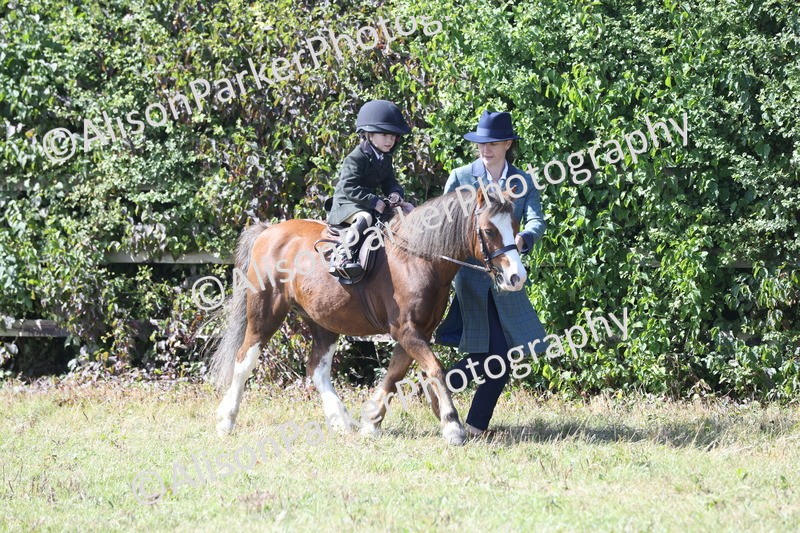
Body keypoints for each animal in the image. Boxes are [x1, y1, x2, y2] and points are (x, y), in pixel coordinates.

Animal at [209, 186, 527, 445]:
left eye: (515, 225)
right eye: (489, 230)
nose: (517, 277)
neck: (418, 258)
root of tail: (267, 231)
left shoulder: (416, 333)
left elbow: (396, 373)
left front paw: (372, 421)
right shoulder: (406, 331)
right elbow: (435, 369)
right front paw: (451, 424)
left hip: (324, 321)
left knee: (317, 369)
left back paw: (341, 421)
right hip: (265, 314)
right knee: (244, 361)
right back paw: (226, 420)